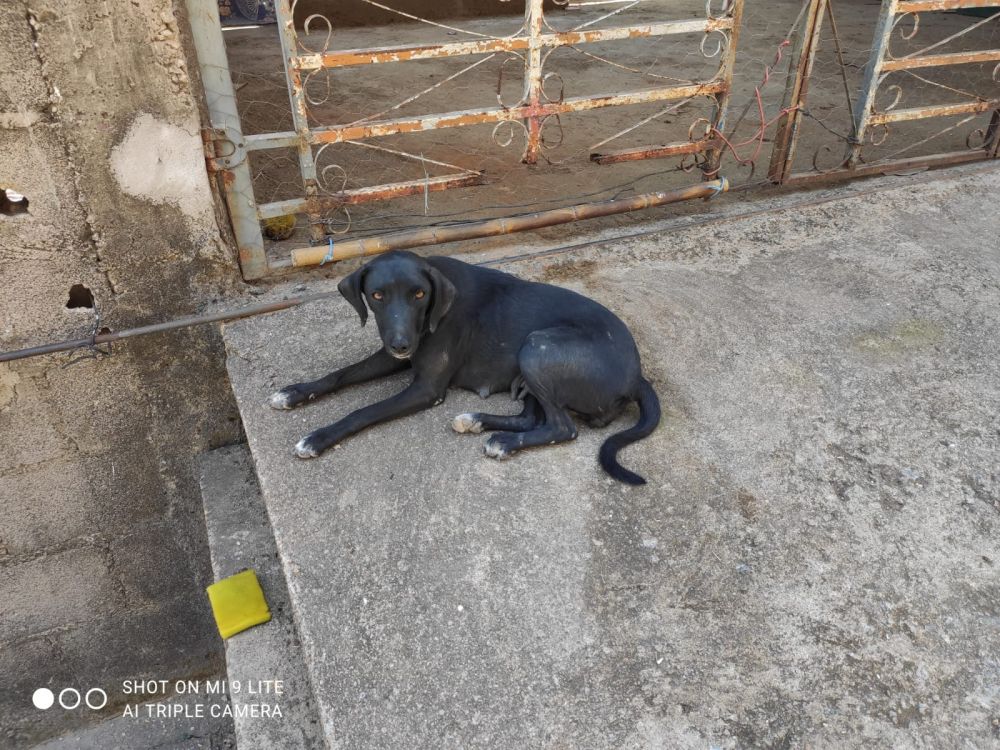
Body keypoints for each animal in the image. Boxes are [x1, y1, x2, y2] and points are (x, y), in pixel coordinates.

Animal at [269, 251, 660, 485]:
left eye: (419, 294)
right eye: (377, 296)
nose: (402, 345)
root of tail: (637, 375)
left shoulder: (426, 389)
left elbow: (362, 411)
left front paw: (318, 438)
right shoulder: (388, 358)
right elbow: (340, 374)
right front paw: (294, 393)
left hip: (538, 347)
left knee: (563, 427)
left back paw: (503, 443)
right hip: (530, 369)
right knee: (531, 418)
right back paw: (476, 421)